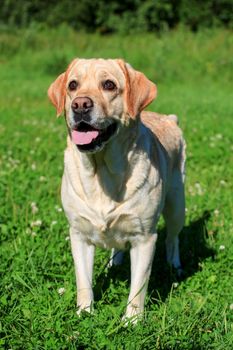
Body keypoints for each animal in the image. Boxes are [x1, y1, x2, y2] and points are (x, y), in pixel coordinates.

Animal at [47, 58, 186, 322]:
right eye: (72, 85)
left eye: (109, 85)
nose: (80, 105)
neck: (102, 171)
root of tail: (170, 118)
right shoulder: (79, 234)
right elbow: (83, 281)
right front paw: (84, 312)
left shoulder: (144, 238)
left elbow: (138, 286)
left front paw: (132, 321)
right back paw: (116, 262)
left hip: (176, 205)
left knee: (173, 239)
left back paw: (175, 265)